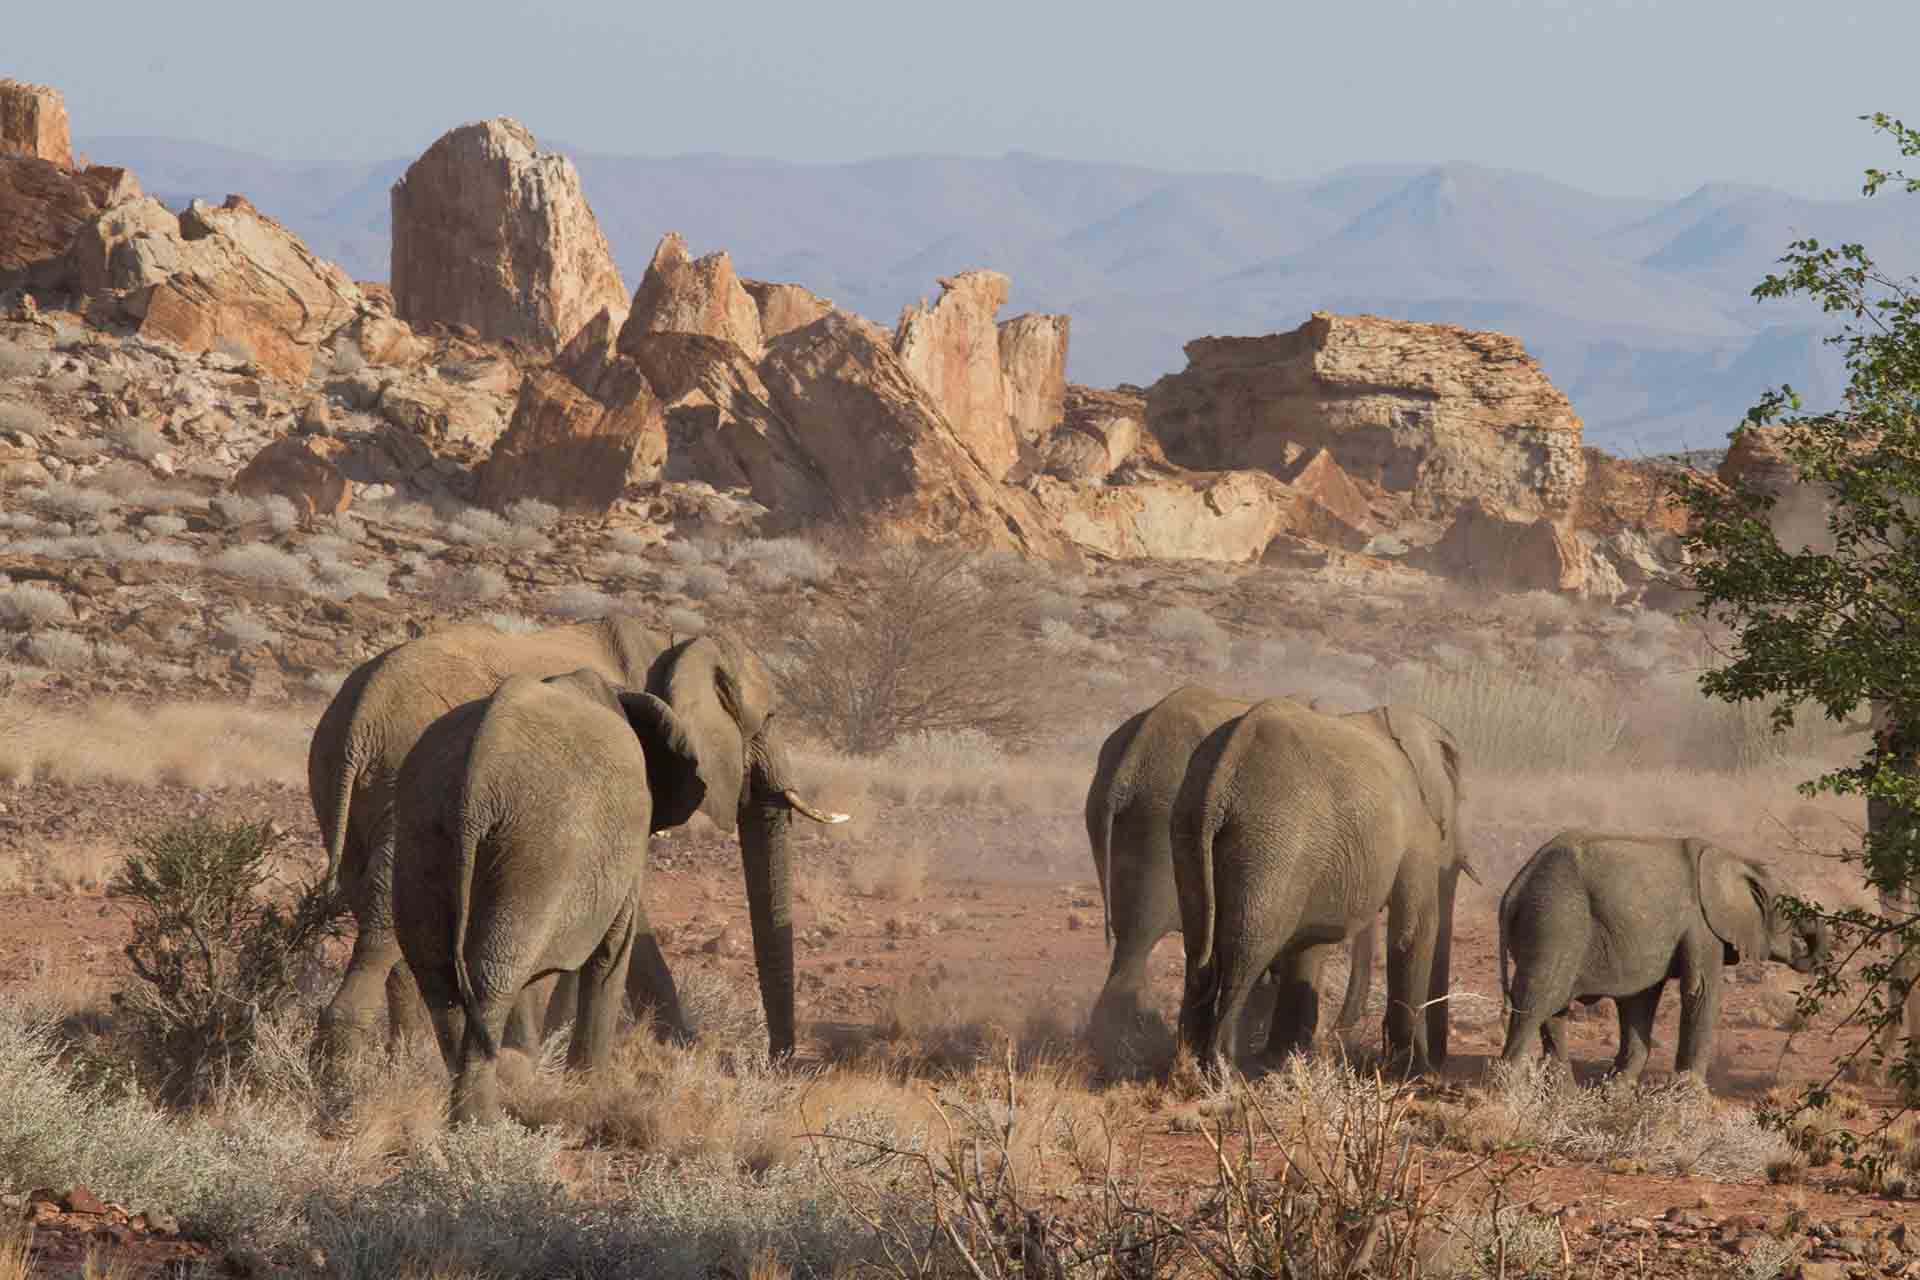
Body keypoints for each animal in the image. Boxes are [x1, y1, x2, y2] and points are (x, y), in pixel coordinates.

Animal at [307, 614, 848, 1066]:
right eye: (771, 717)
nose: (780, 1064)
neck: (673, 642)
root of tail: (360, 720)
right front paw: (682, 1050)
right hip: (407, 789)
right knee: (387, 925)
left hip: (348, 788)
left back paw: (400, 1063)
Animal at [1167, 694, 1466, 1074]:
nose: (1439, 1068)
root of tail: (1225, 768)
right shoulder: (1417, 827)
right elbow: (1414, 929)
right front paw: (1417, 1074)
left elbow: (1308, 941)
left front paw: (1282, 1063)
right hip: (1273, 841)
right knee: (1245, 950)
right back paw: (1224, 1073)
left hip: (1188, 825)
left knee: (1198, 950)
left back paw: (1186, 1066)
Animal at [1497, 825, 1827, 1090]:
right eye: (1791, 909)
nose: (1806, 952)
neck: (1739, 861)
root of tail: (1515, 888)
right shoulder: (1702, 925)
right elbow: (1700, 991)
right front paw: (1689, 1095)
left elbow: (1639, 1001)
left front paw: (1615, 1092)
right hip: (1556, 920)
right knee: (1537, 1000)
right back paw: (1508, 1095)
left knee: (1554, 1008)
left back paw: (1564, 1097)